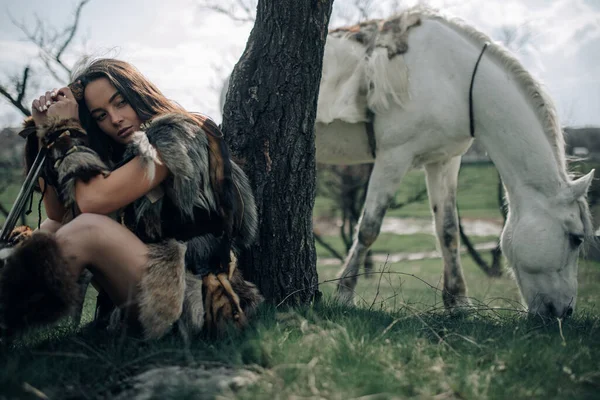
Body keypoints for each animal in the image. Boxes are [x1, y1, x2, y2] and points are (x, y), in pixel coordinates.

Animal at [224, 7, 596, 318]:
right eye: (576, 238)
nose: (564, 313)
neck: (455, 78)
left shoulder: (444, 162)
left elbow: (448, 232)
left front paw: (458, 303)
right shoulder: (393, 157)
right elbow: (369, 228)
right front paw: (345, 294)